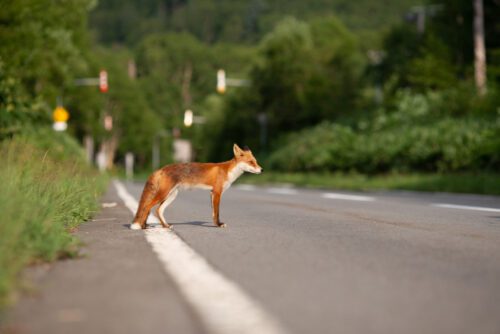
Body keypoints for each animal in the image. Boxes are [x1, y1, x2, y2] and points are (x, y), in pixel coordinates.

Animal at [130, 144, 262, 230]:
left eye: (255, 161)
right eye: (251, 162)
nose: (261, 170)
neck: (228, 171)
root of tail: (160, 169)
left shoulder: (212, 193)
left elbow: (213, 213)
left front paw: (215, 224)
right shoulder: (217, 192)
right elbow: (217, 212)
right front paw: (219, 225)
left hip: (171, 195)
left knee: (158, 210)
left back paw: (165, 226)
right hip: (164, 194)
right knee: (147, 207)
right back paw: (143, 226)